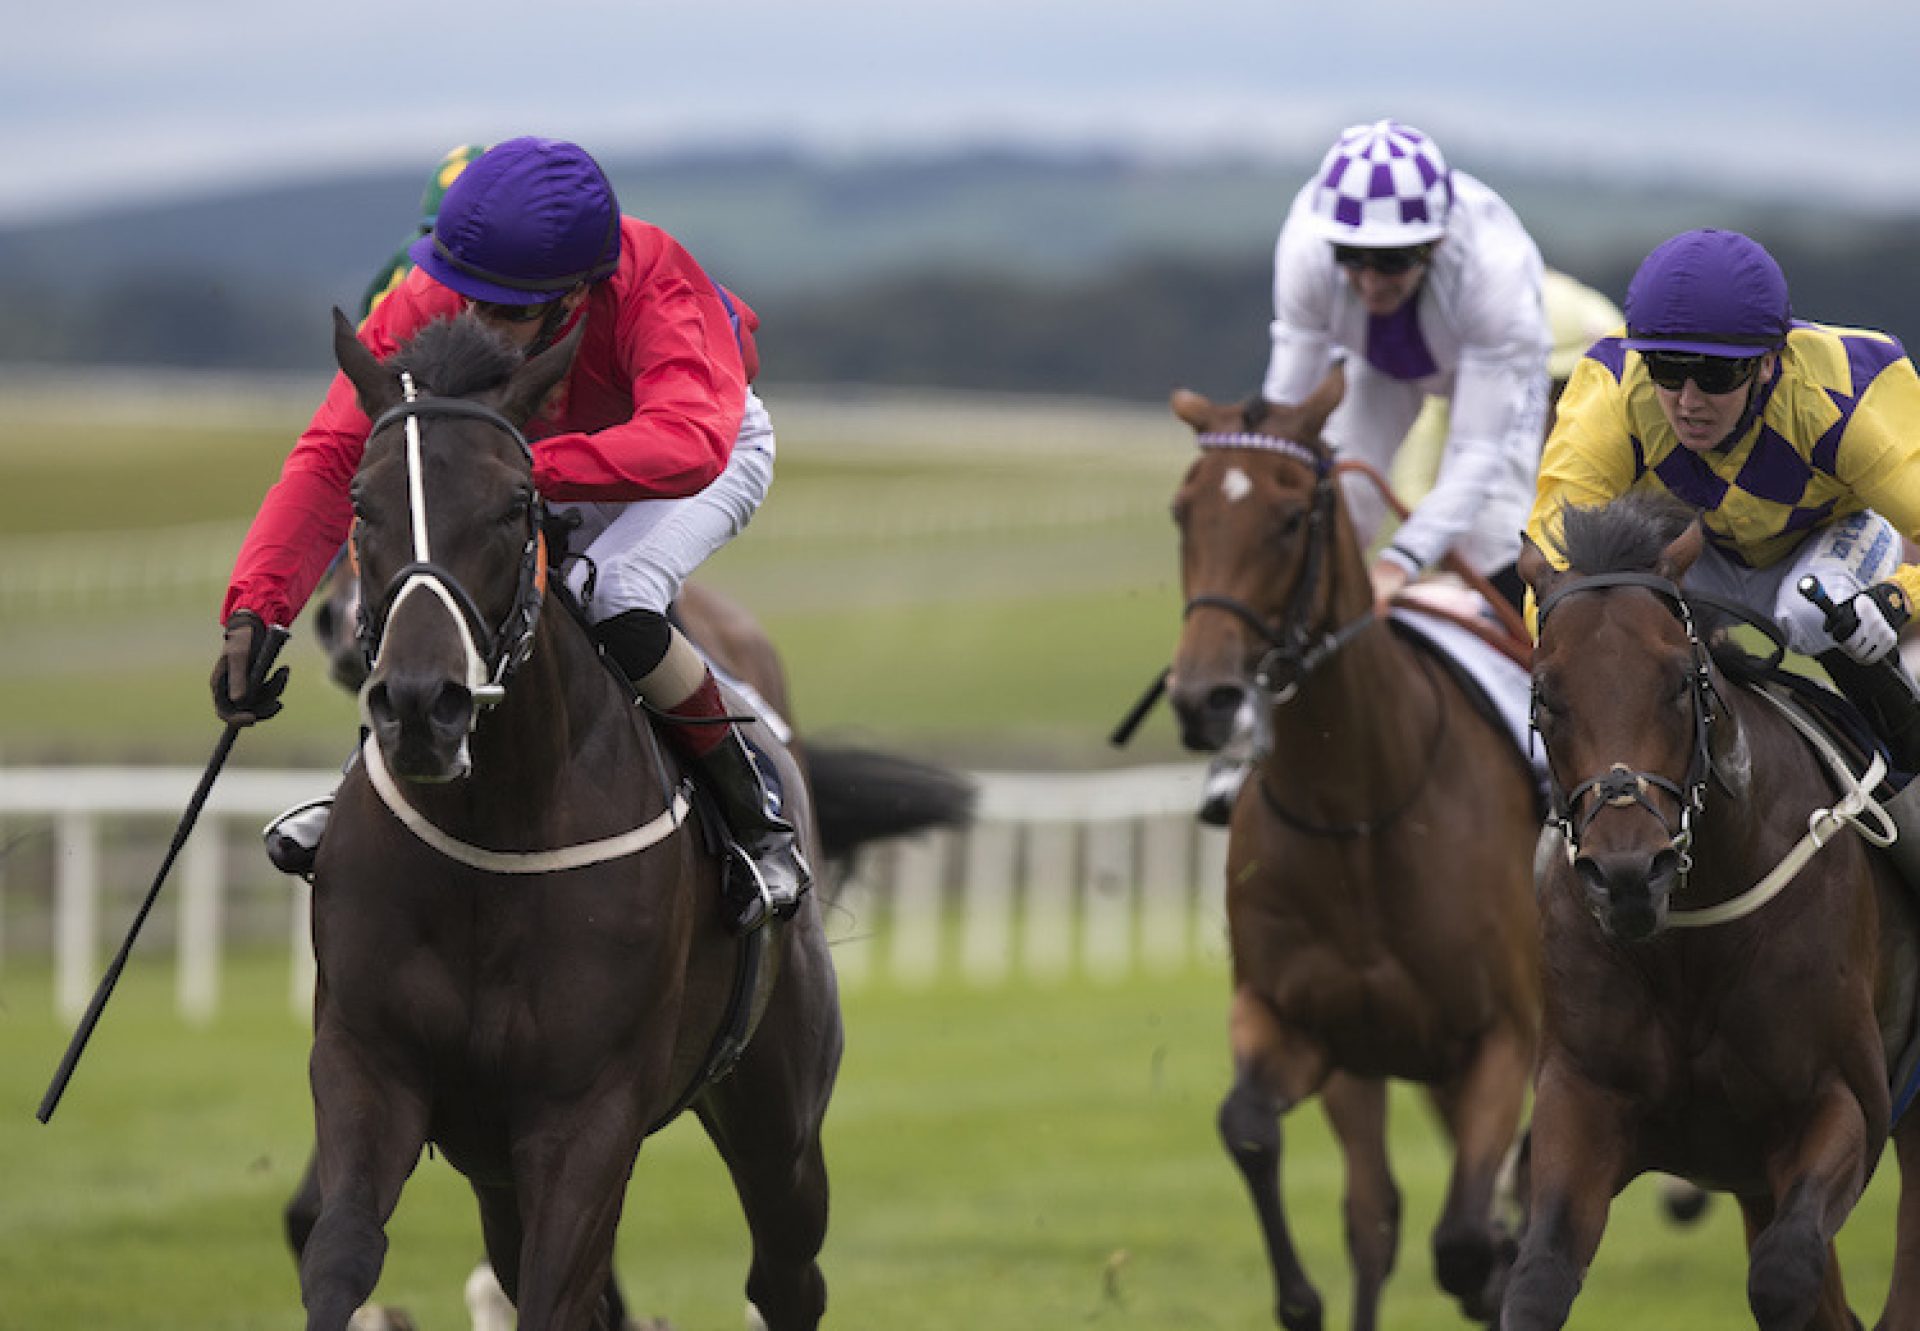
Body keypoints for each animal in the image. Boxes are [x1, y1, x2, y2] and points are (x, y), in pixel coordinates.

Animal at [293, 311, 840, 1329]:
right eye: (359, 501)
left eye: (516, 502)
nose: (421, 704)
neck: (493, 830)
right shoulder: (368, 1060)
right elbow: (339, 1252)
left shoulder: (587, 1112)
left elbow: (557, 1293)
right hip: (496, 1169)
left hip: (778, 1117)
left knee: (786, 1276)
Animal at [1159, 376, 1536, 1329]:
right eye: (1183, 511)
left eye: (1292, 517)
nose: (1204, 698)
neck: (1359, 811)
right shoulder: (1304, 1023)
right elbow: (1253, 1131)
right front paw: (1300, 1296)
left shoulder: (1504, 1039)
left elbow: (1467, 1241)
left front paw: (1497, 1262)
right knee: (1378, 1212)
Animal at [1512, 491, 1920, 1329]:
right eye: (1546, 694)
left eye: (1679, 680)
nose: (1628, 873)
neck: (1687, 941)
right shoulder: (1581, 1095)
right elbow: (1537, 1279)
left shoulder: (1842, 1101)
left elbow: (1785, 1274)